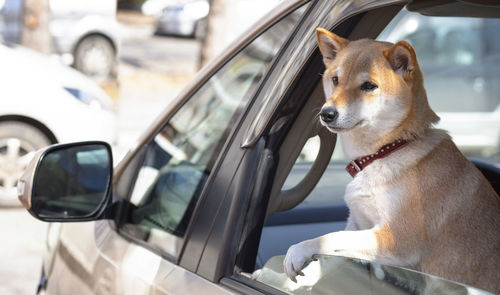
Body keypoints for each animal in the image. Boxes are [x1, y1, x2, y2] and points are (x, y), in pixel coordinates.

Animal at [286, 28, 500, 294]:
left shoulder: (396, 238)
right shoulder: (358, 223)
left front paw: (298, 251)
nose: (327, 113)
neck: (386, 151)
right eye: (335, 80)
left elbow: (332, 238)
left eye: (369, 86)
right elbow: (332, 252)